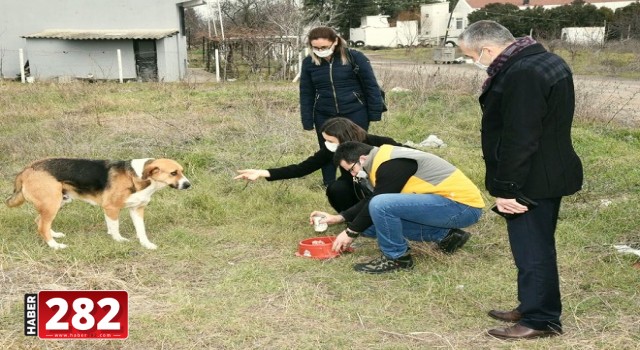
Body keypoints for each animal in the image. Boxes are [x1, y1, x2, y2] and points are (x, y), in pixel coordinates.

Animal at [5, 157, 190, 250]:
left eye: (182, 171)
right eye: (173, 173)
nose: (188, 185)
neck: (137, 176)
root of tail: (26, 169)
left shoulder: (137, 209)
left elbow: (141, 231)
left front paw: (146, 244)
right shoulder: (111, 208)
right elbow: (115, 228)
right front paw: (119, 240)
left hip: (58, 202)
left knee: (40, 221)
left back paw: (55, 235)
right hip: (52, 203)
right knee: (42, 226)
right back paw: (55, 246)